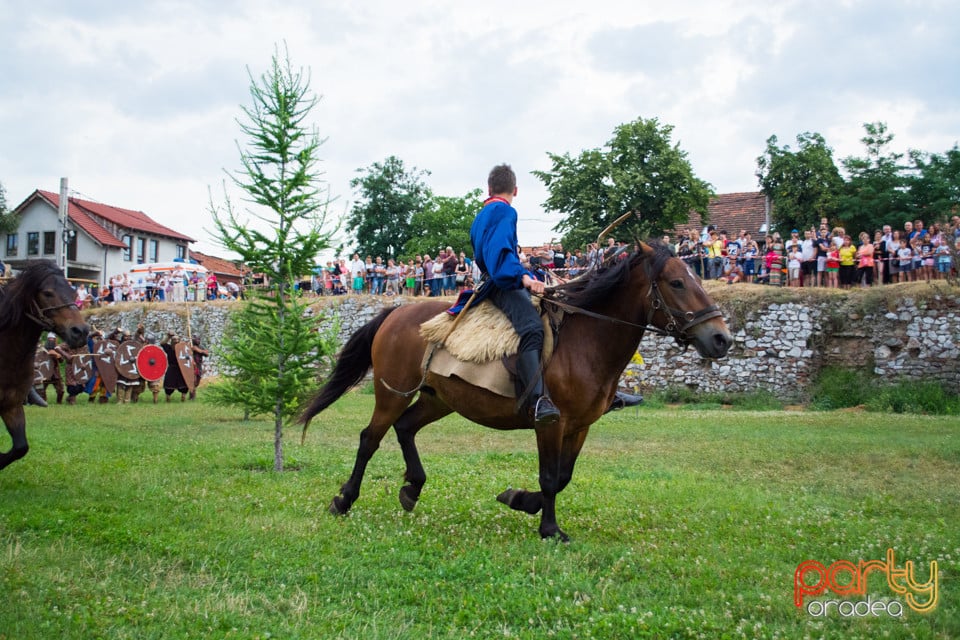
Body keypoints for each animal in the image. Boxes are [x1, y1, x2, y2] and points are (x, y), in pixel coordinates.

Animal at [304, 242, 732, 536]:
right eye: (677, 282)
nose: (721, 339)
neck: (586, 340)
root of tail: (396, 312)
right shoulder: (551, 424)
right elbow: (550, 477)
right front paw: (549, 529)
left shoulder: (580, 427)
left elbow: (563, 477)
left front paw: (519, 500)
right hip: (393, 392)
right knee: (369, 438)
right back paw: (344, 499)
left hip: (439, 399)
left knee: (404, 429)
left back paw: (412, 487)